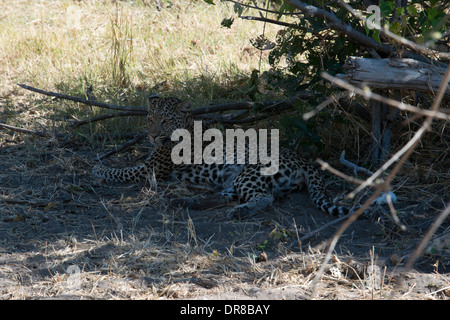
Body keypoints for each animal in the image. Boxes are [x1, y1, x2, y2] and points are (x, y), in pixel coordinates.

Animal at [93, 95, 350, 218]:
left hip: (251, 172)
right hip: (234, 179)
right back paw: (187, 202)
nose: (152, 135)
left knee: (265, 198)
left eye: (164, 121)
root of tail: (304, 160)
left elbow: (121, 171)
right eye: (149, 119)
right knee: (230, 196)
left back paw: (239, 212)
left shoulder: (150, 169)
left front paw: (97, 168)